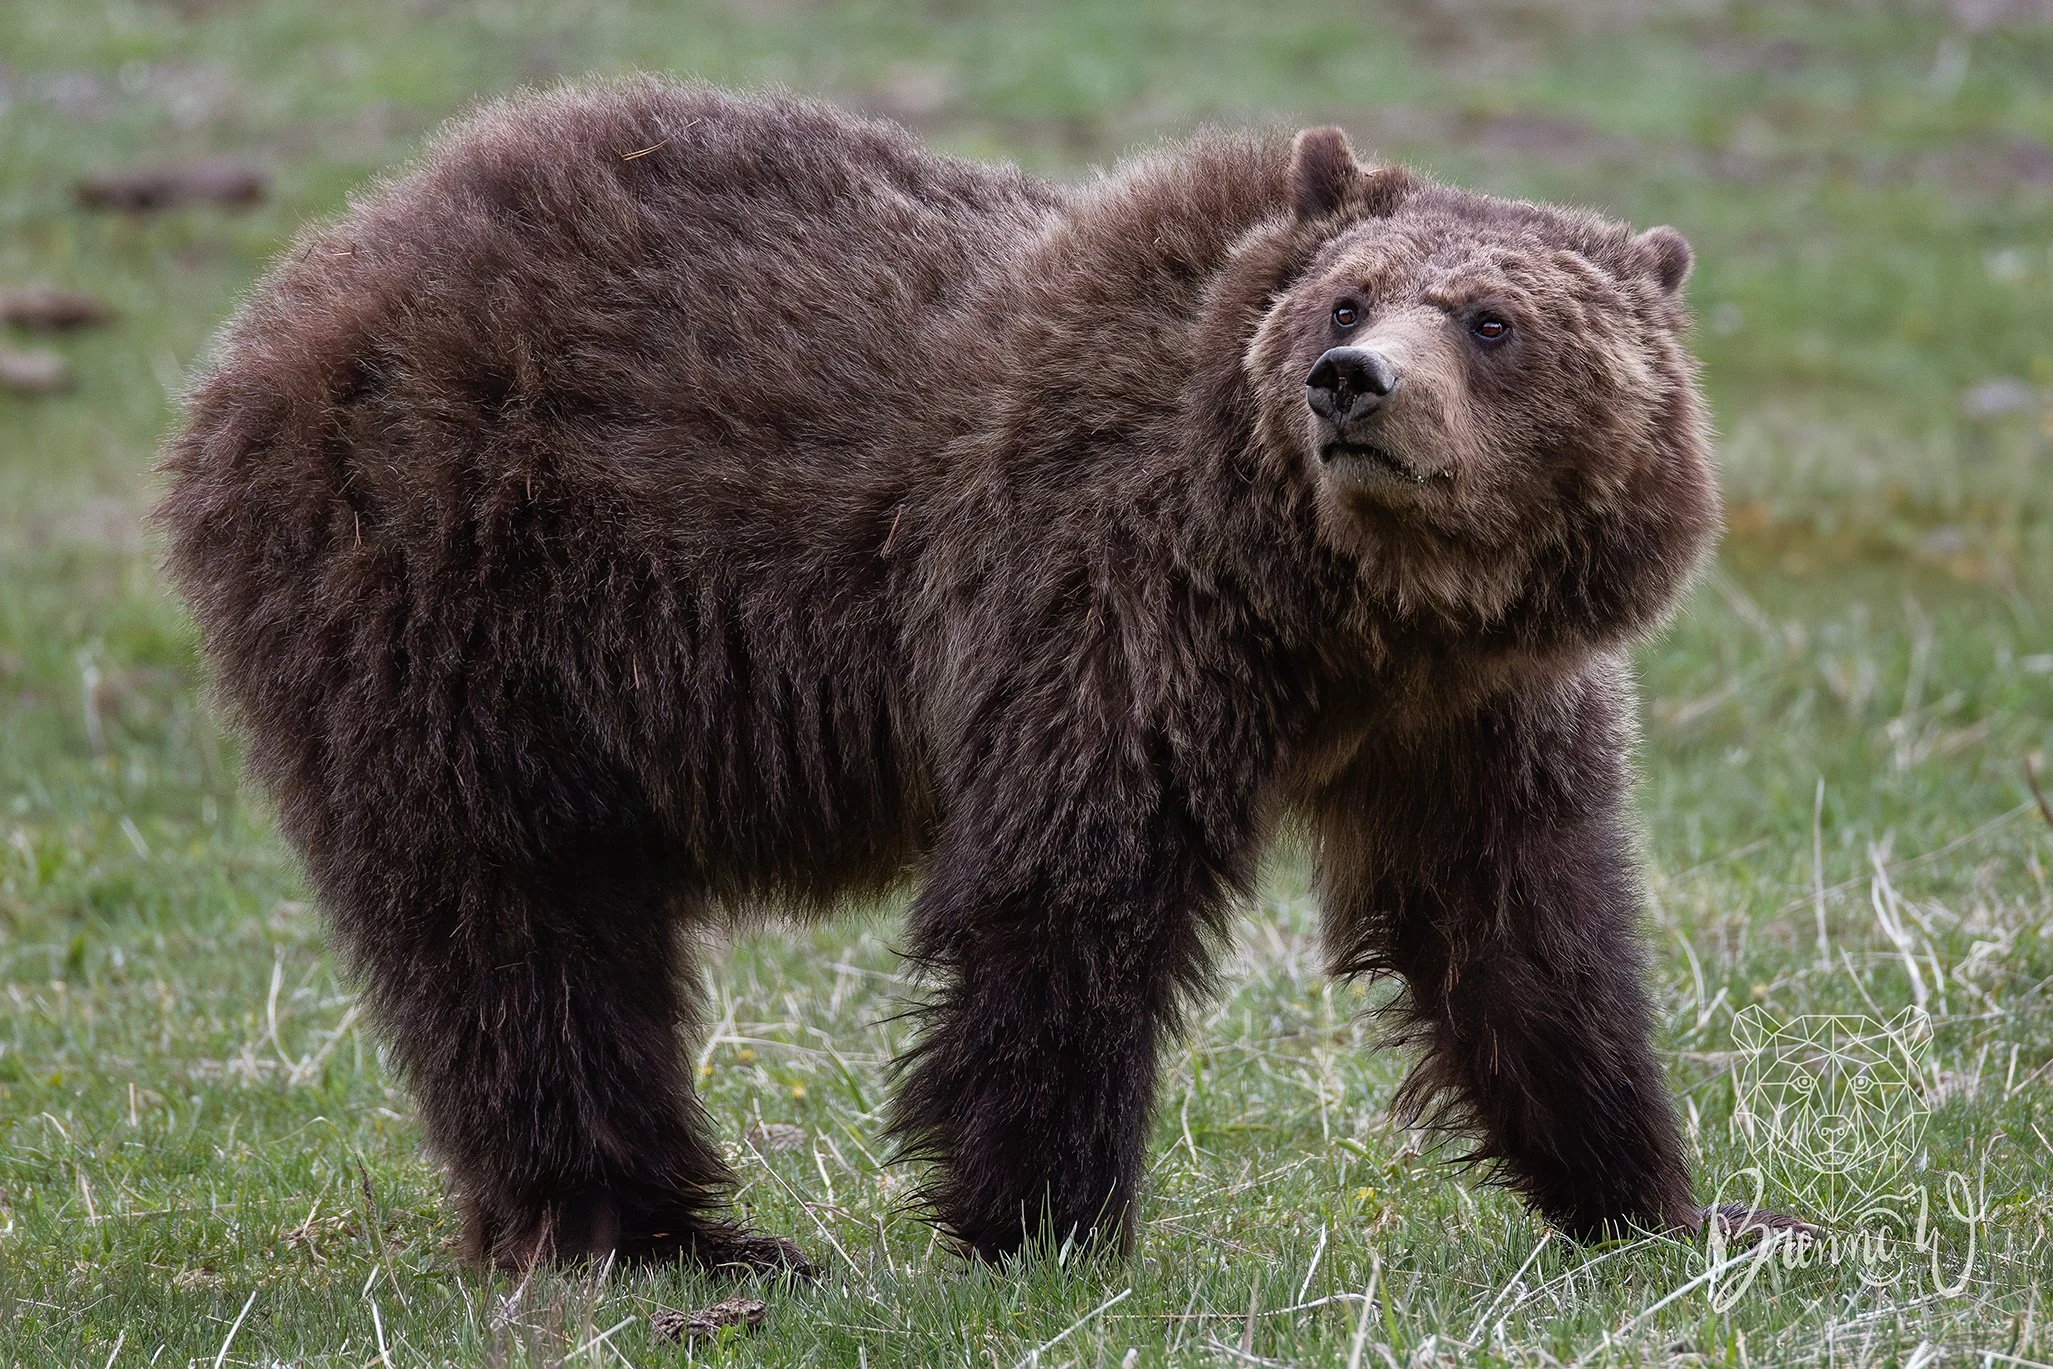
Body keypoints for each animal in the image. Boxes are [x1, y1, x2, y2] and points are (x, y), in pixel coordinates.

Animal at [157, 76, 1727, 1272]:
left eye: (1491, 320)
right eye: (1349, 295)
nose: (1349, 383)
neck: (1348, 611)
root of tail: (306, 279)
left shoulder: (1474, 711)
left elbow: (1523, 929)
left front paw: (1662, 1199)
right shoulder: (1106, 598)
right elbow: (1068, 888)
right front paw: (1040, 1222)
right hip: (455, 579)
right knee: (517, 917)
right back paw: (664, 1235)